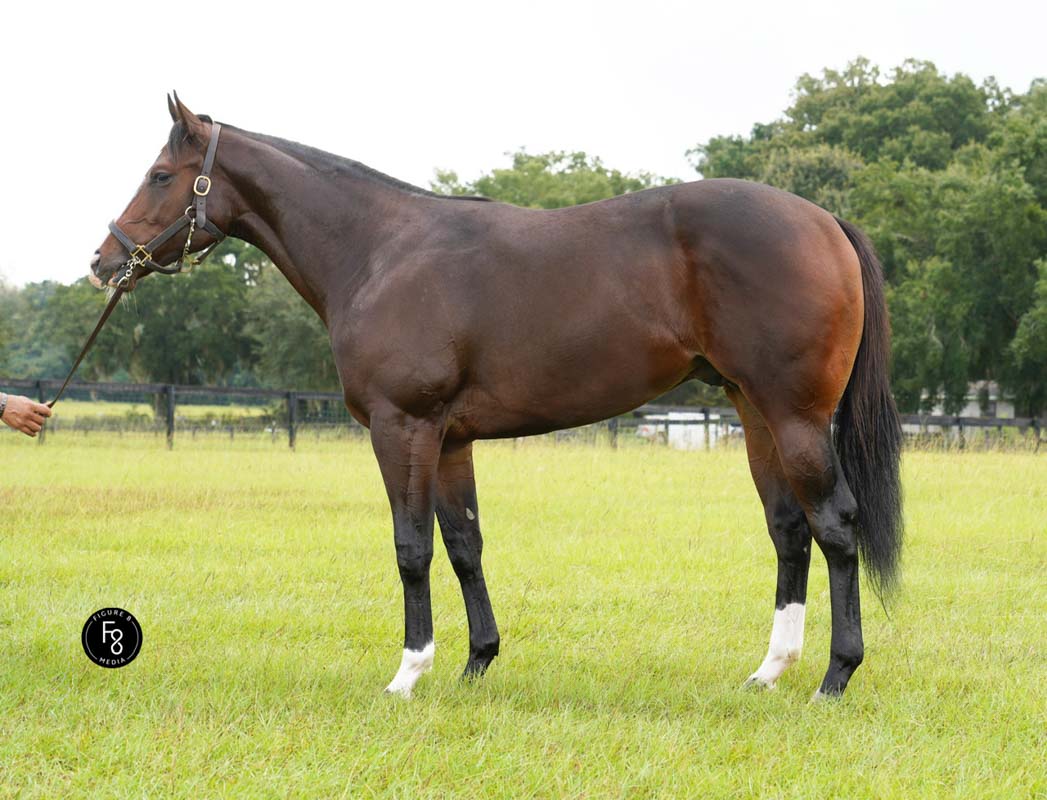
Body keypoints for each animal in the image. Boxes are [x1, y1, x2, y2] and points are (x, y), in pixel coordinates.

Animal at [91, 94, 903, 699]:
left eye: (161, 174)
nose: (103, 261)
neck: (379, 250)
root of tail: (823, 220)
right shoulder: (450, 439)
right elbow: (464, 545)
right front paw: (476, 662)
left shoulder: (403, 427)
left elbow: (412, 547)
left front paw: (407, 673)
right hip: (753, 411)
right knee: (788, 529)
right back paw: (770, 671)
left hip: (796, 417)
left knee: (834, 524)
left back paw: (836, 676)